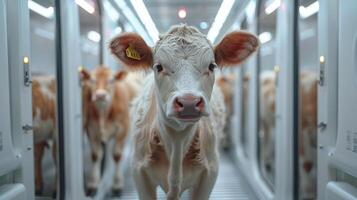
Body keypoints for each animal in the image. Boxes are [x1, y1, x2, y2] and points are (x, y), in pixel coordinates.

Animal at [79, 66, 139, 197]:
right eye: (92, 80)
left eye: (111, 80)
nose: (100, 95)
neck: (103, 114)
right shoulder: (91, 130)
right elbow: (96, 155)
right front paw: (93, 184)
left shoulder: (122, 130)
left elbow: (116, 155)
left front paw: (117, 185)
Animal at [109, 25, 258, 200]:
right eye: (158, 66)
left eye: (211, 66)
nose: (189, 102)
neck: (177, 142)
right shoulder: (139, 171)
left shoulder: (210, 173)